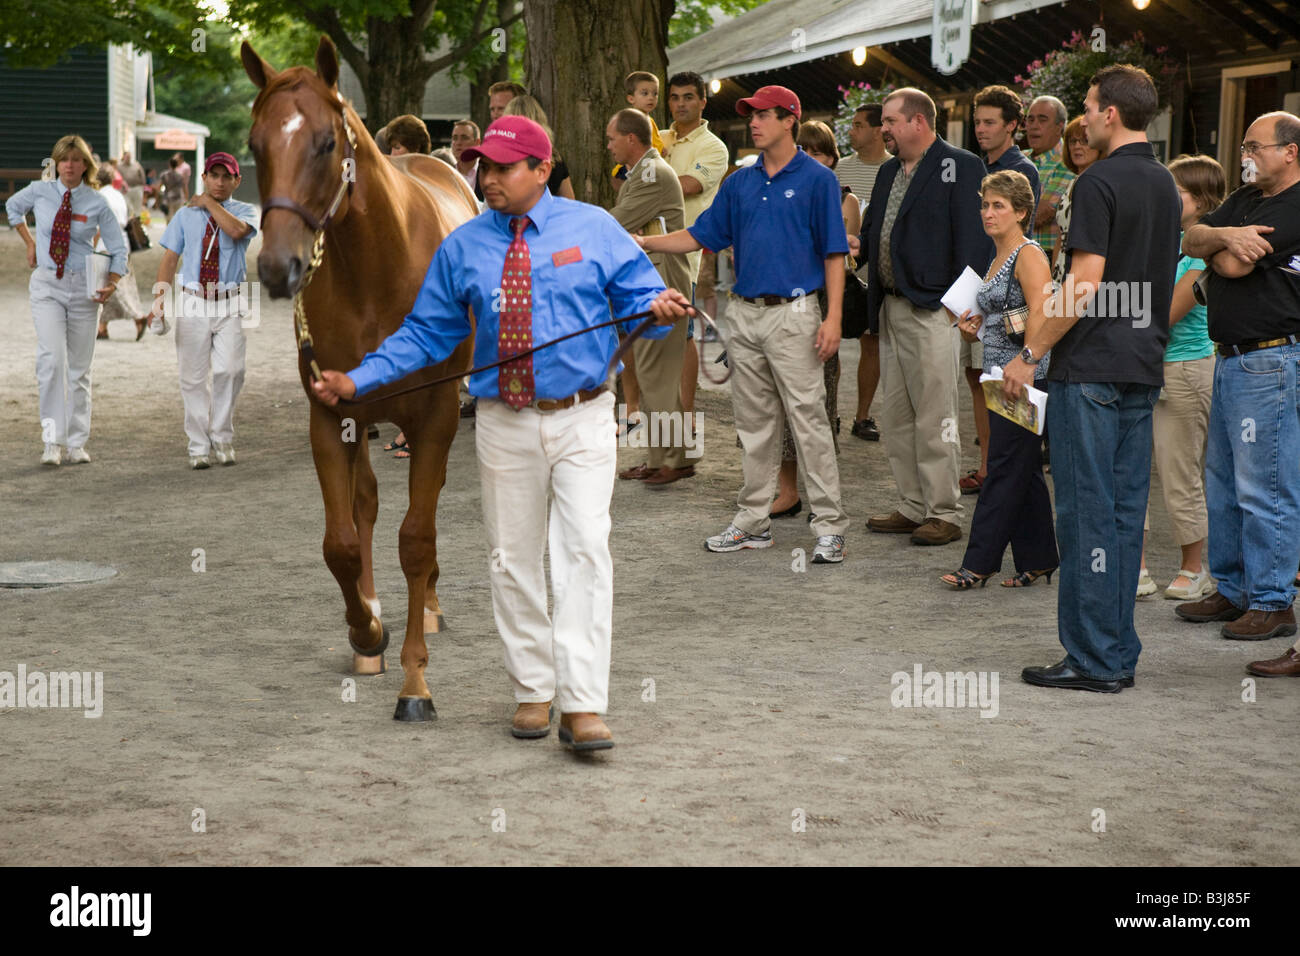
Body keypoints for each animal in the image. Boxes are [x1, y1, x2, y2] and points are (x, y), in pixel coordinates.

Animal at [240, 39, 478, 723]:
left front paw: (415, 682)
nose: (277, 266)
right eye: (255, 142)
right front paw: (367, 629)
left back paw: (428, 606)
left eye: (325, 142)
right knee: (366, 505)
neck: (377, 272)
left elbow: (417, 539)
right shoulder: (330, 415)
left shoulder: (435, 418)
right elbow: (341, 542)